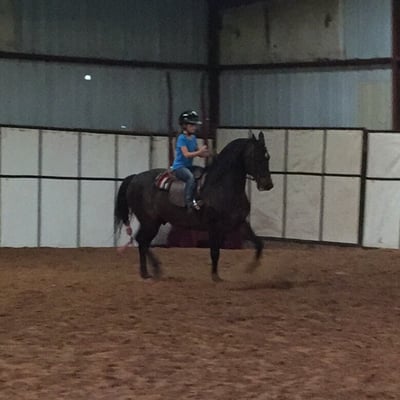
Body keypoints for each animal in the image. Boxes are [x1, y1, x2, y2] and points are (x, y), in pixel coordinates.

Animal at [114, 131, 274, 282]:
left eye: (267, 157)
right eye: (256, 157)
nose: (268, 184)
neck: (221, 186)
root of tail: (135, 178)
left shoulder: (239, 223)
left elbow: (259, 244)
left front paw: (250, 268)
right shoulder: (214, 226)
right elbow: (215, 252)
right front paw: (215, 277)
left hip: (153, 222)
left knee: (142, 242)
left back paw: (146, 273)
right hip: (150, 222)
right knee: (142, 241)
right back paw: (155, 269)